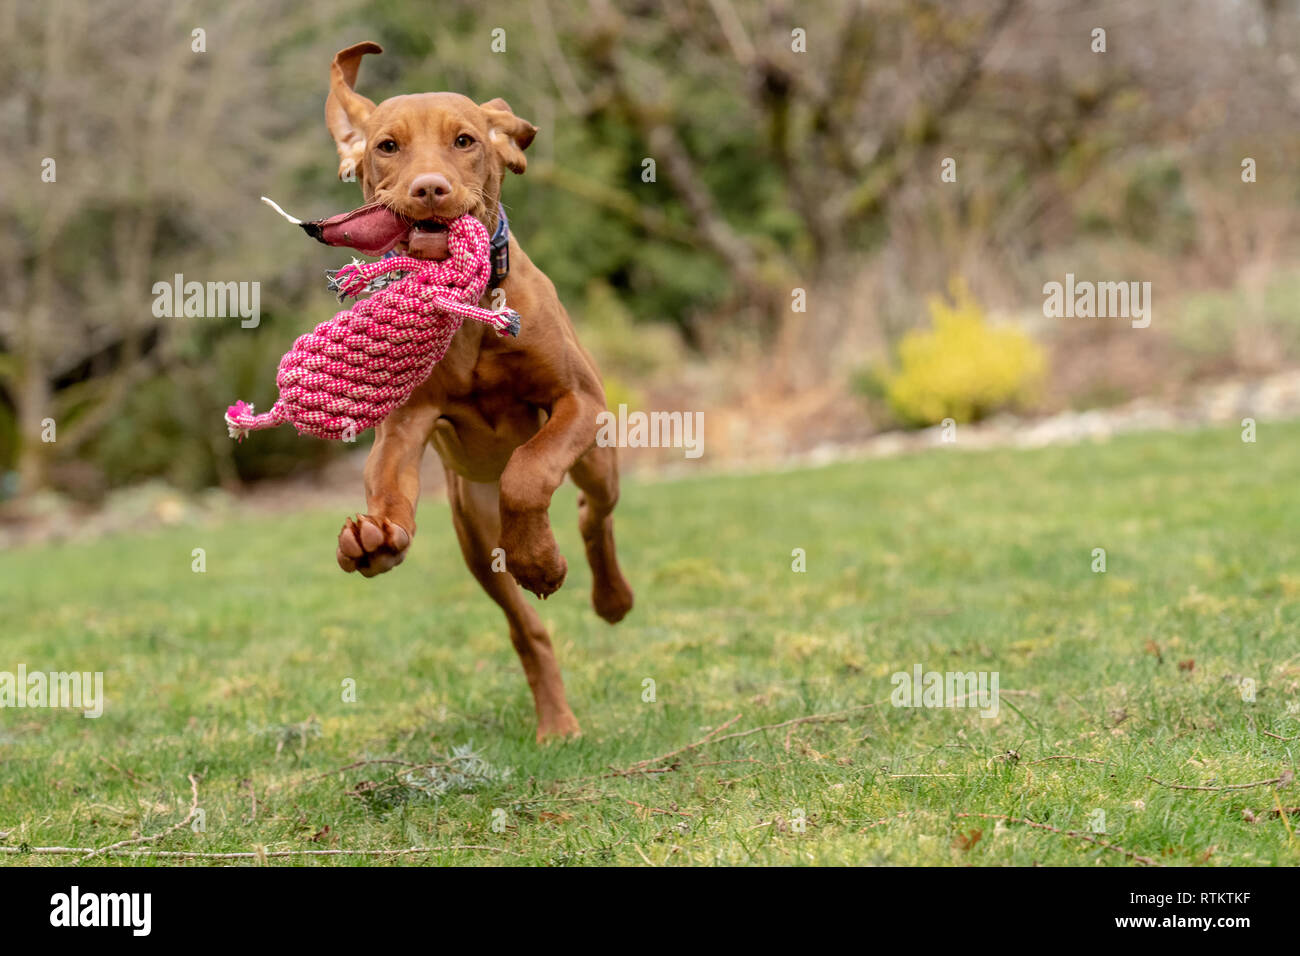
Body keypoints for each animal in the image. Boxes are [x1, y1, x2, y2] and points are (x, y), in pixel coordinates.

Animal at [322, 41, 631, 743]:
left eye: (464, 140)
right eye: (387, 147)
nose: (429, 189)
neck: (464, 307)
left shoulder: (580, 402)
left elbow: (530, 469)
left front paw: (542, 561)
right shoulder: (406, 426)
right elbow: (387, 486)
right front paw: (376, 540)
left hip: (597, 460)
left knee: (592, 512)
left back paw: (609, 597)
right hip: (473, 531)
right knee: (526, 629)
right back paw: (556, 721)